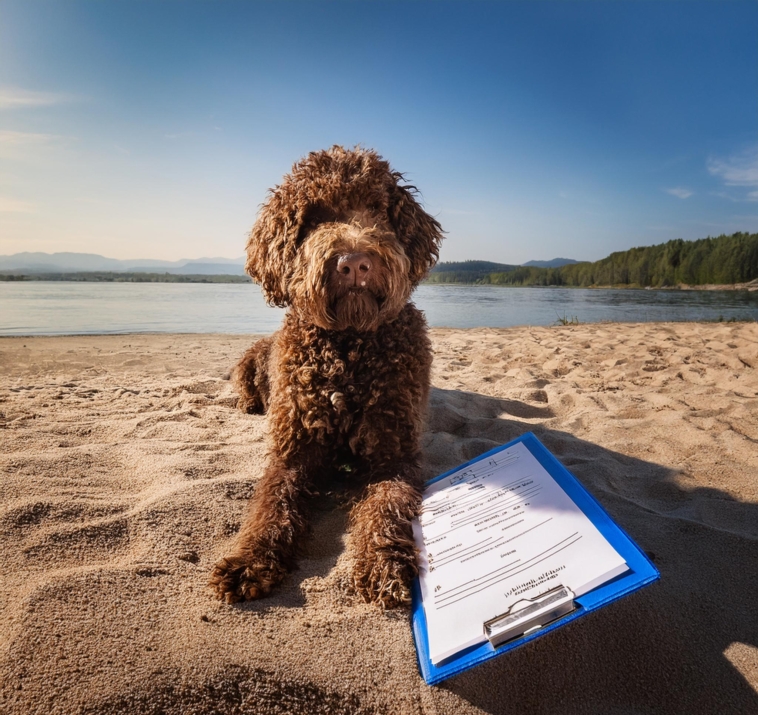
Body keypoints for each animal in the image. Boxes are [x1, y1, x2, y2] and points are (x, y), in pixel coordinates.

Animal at [208, 147, 446, 608]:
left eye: (376, 208)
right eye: (314, 216)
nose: (354, 263)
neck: (348, 351)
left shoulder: (394, 454)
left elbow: (387, 504)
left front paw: (381, 562)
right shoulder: (292, 452)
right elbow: (270, 505)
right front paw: (248, 560)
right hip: (249, 364)